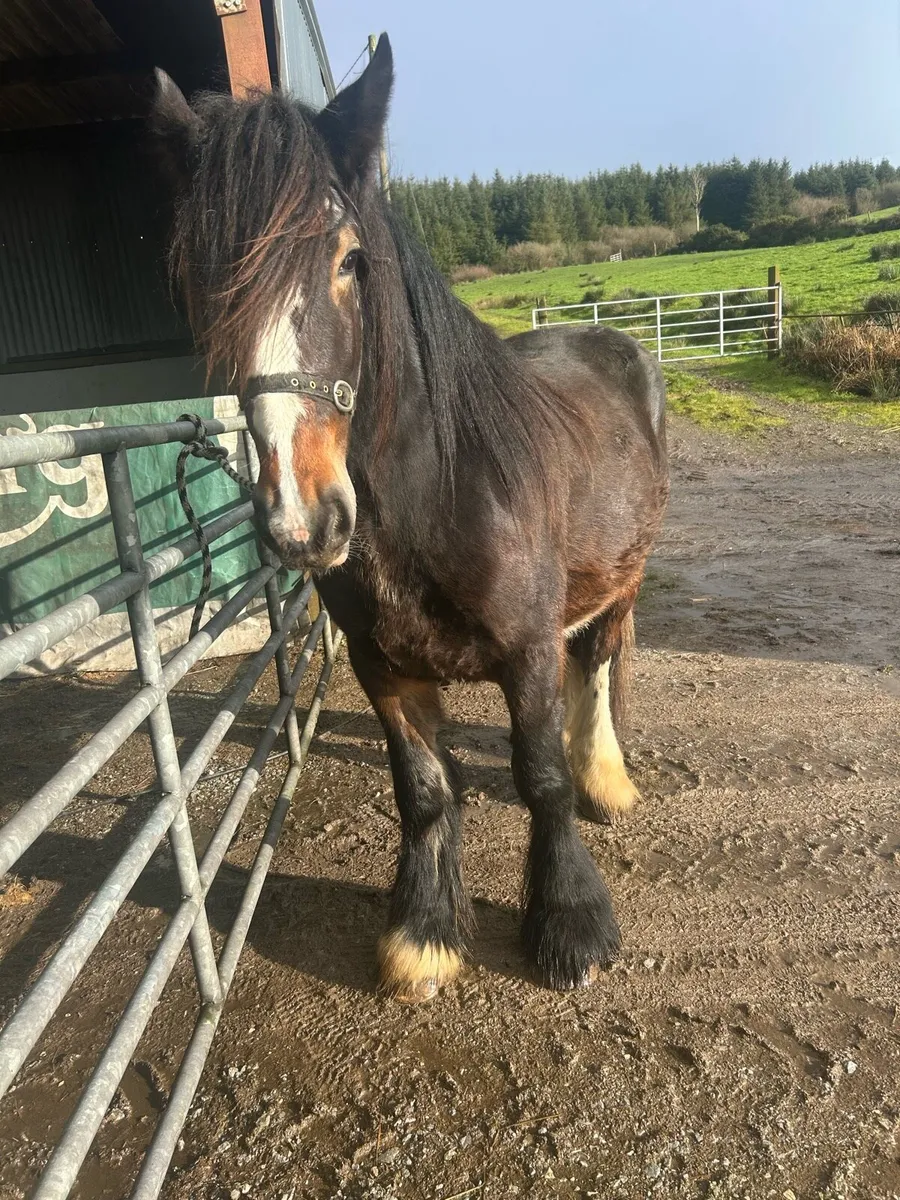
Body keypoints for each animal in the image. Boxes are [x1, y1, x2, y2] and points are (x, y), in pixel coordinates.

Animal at [151, 36, 669, 1002]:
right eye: (203, 285)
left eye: (350, 259)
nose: (303, 522)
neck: (442, 499)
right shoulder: (382, 667)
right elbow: (424, 789)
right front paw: (424, 934)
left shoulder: (527, 652)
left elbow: (540, 777)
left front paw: (571, 924)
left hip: (624, 577)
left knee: (600, 661)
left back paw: (606, 779)